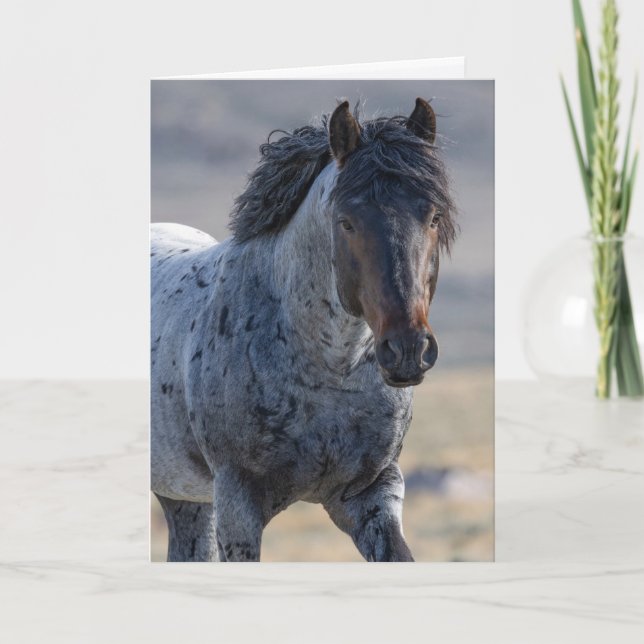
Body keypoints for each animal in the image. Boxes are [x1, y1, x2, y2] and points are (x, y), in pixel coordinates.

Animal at [151, 98, 456, 562]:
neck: (329, 372)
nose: (408, 350)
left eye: (434, 216)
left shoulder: (373, 494)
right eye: (346, 221)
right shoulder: (238, 503)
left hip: (185, 497)